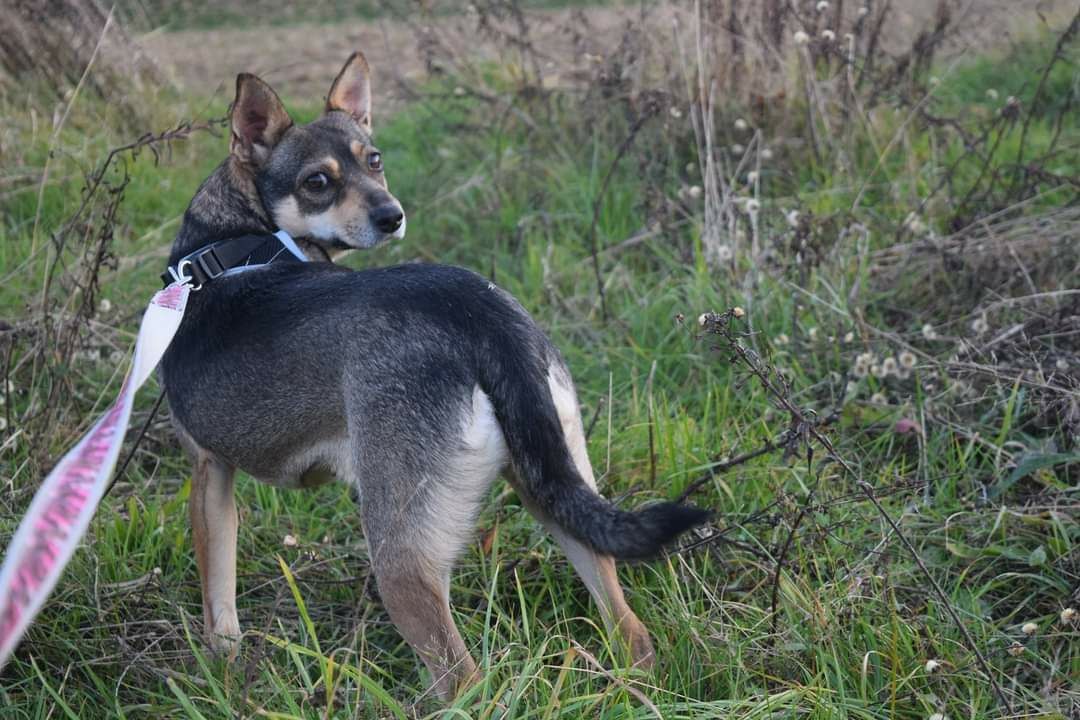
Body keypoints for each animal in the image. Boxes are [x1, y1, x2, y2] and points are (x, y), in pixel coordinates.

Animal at [162, 52, 708, 703]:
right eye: (317, 181)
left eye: (373, 160)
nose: (391, 215)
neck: (232, 243)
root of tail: (479, 314)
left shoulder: (208, 473)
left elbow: (217, 597)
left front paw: (220, 669)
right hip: (557, 490)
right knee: (631, 632)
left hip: (400, 559)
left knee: (467, 683)